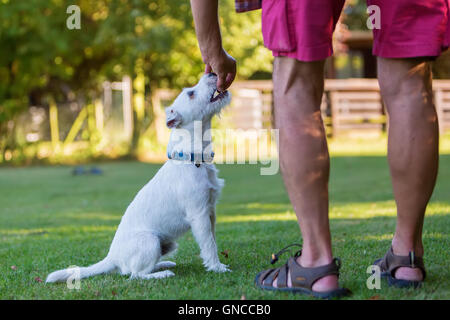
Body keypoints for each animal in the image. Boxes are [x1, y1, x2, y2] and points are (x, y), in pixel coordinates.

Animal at [46, 73, 232, 282]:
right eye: (191, 93)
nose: (212, 73)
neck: (193, 158)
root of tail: (112, 257)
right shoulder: (199, 214)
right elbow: (209, 244)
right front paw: (217, 268)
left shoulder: (210, 211)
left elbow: (213, 239)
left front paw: (218, 264)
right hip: (149, 241)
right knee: (135, 274)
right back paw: (163, 273)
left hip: (166, 244)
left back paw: (165, 264)